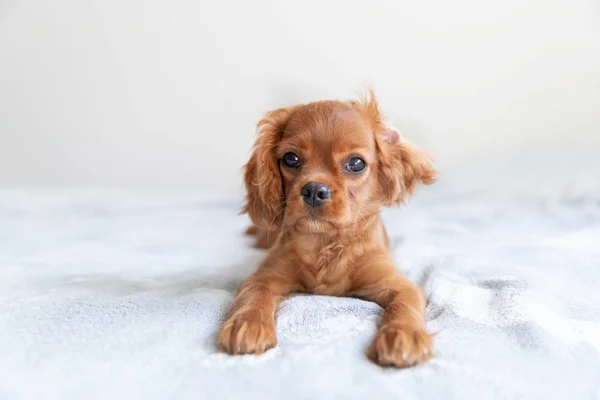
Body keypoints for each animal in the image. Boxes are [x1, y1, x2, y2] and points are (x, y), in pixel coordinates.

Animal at [218, 89, 434, 368]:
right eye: (291, 158)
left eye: (356, 163)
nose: (313, 190)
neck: (324, 242)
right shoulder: (267, 275)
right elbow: (254, 291)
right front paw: (246, 324)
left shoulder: (395, 282)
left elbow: (405, 302)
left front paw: (402, 335)